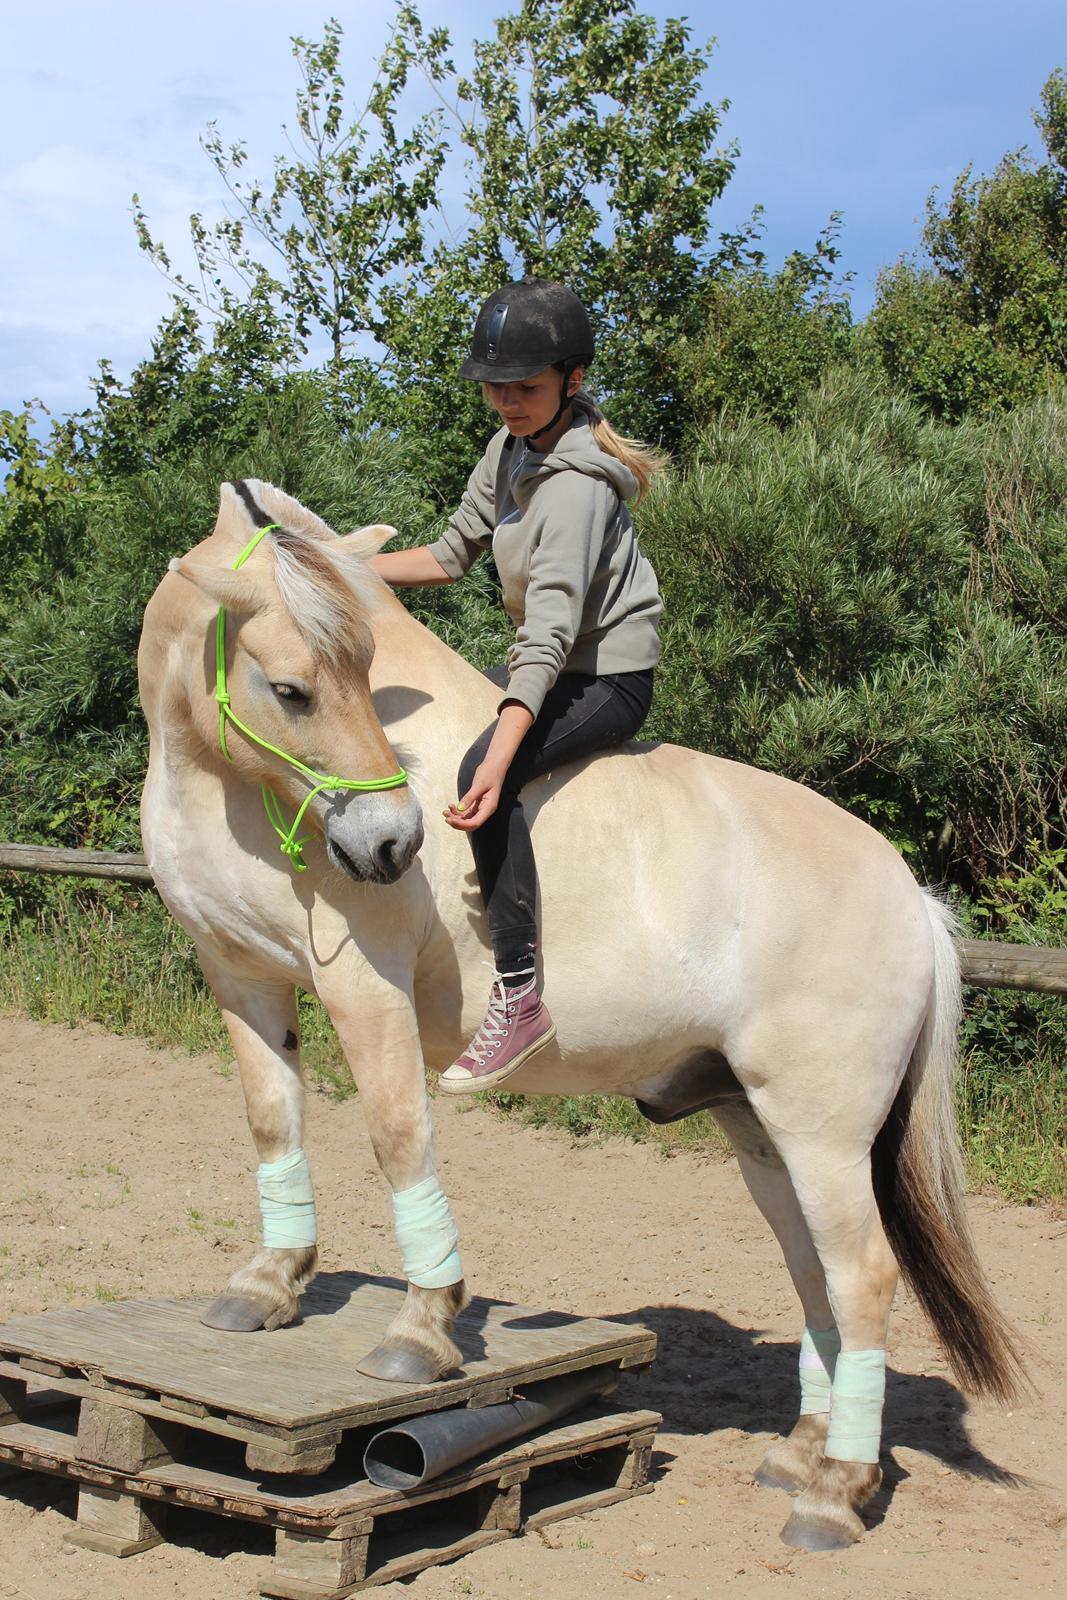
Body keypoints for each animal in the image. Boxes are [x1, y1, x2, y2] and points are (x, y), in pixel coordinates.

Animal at [137, 476, 1023, 1548]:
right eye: (294, 688)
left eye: (358, 671)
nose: (393, 842)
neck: (224, 787)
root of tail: (907, 893)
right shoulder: (240, 978)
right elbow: (273, 1122)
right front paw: (267, 1285)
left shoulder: (365, 988)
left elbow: (397, 1136)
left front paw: (422, 1330)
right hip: (761, 1128)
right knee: (814, 1273)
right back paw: (799, 1455)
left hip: (821, 1130)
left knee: (862, 1280)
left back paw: (836, 1494)